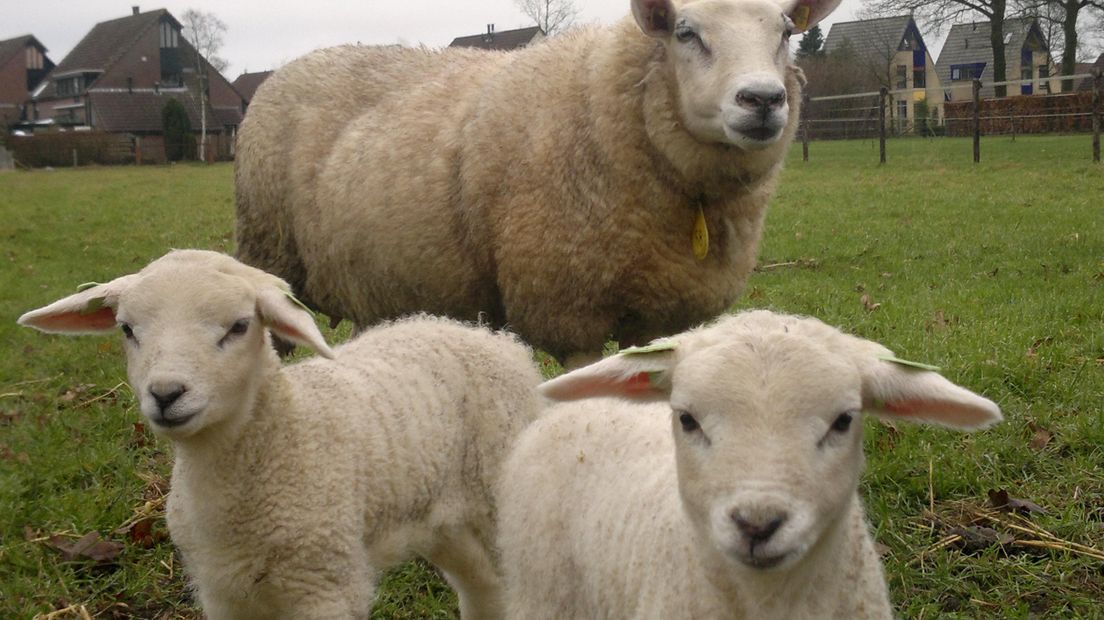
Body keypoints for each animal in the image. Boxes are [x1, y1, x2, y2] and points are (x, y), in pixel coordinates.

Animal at [19, 248, 545, 613]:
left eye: (238, 326)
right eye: (127, 329)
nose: (166, 393)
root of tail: (491, 337)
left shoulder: (325, 585)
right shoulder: (222, 591)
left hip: (496, 506)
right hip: (444, 523)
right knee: (483, 592)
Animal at [239, 0, 843, 361]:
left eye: (786, 31)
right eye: (686, 31)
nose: (763, 100)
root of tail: (290, 67)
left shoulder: (659, 315)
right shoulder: (566, 307)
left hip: (373, 282)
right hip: (271, 261)